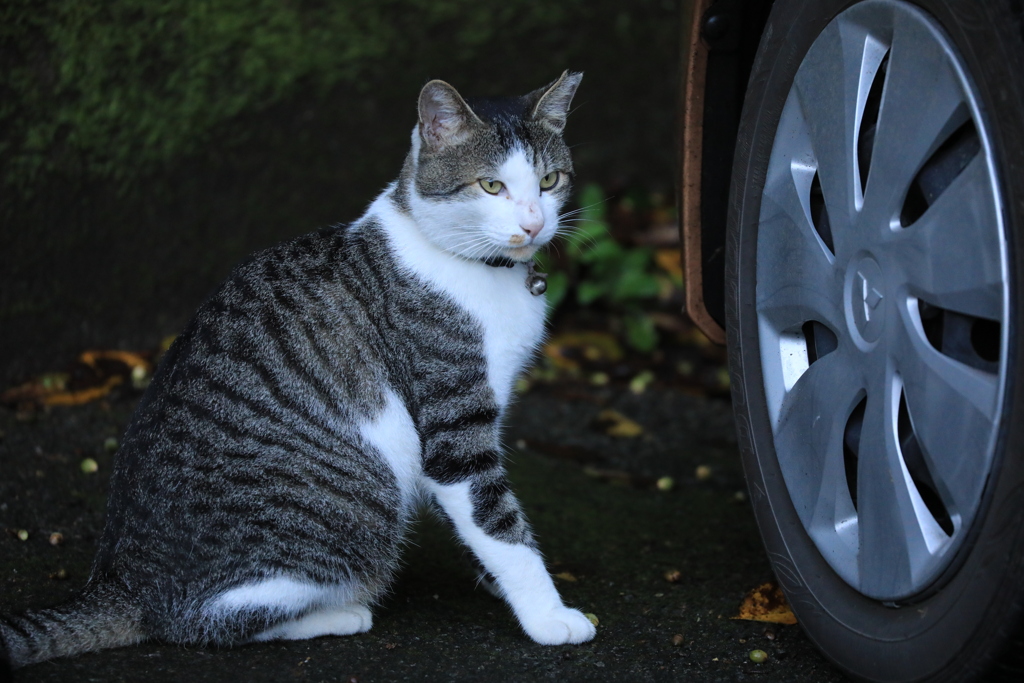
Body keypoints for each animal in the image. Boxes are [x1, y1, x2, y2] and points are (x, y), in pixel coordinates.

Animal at [0, 72, 593, 671]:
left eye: (549, 180)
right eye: (491, 187)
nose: (533, 223)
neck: (477, 269)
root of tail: (122, 581)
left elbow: (478, 520)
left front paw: (494, 581)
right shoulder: (454, 428)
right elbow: (500, 525)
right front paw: (548, 615)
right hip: (358, 510)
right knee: (204, 622)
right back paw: (338, 614)